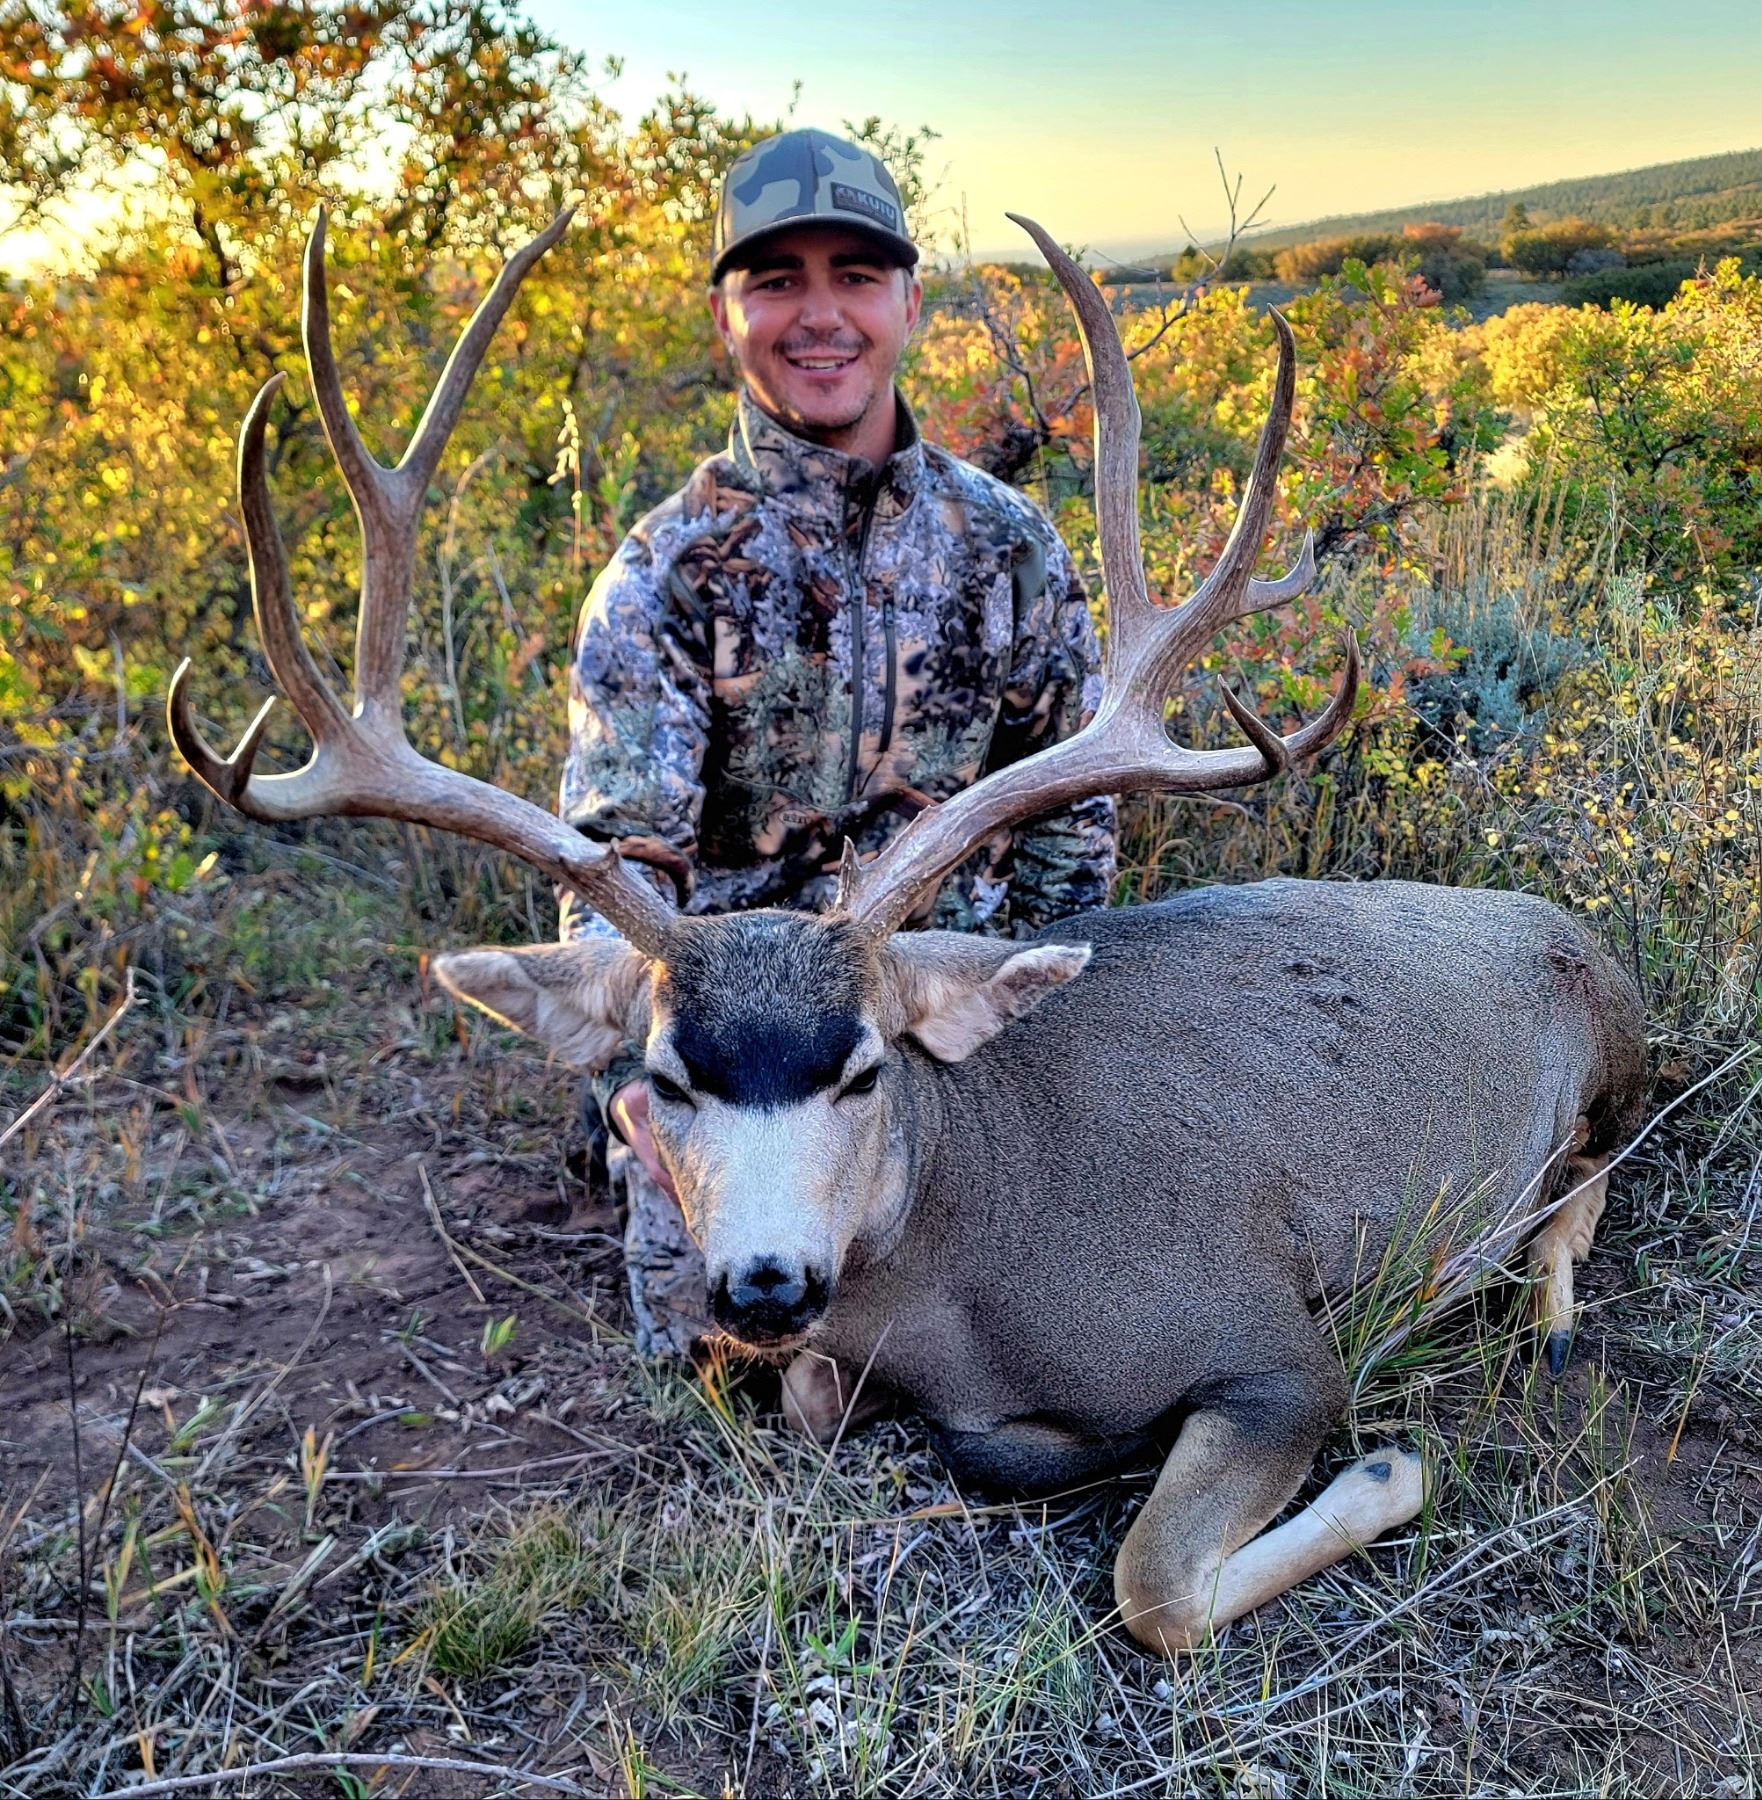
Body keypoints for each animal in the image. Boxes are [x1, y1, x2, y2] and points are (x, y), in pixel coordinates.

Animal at [169, 206, 1647, 1654]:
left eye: (863, 1069)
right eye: (665, 1079)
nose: (763, 1284)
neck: (966, 1272)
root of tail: (1559, 922)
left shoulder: (1269, 1344)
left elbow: (1156, 1585)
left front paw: (1386, 1466)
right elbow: (834, 1411)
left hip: (1618, 1057)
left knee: (1589, 1175)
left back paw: (1547, 1306)